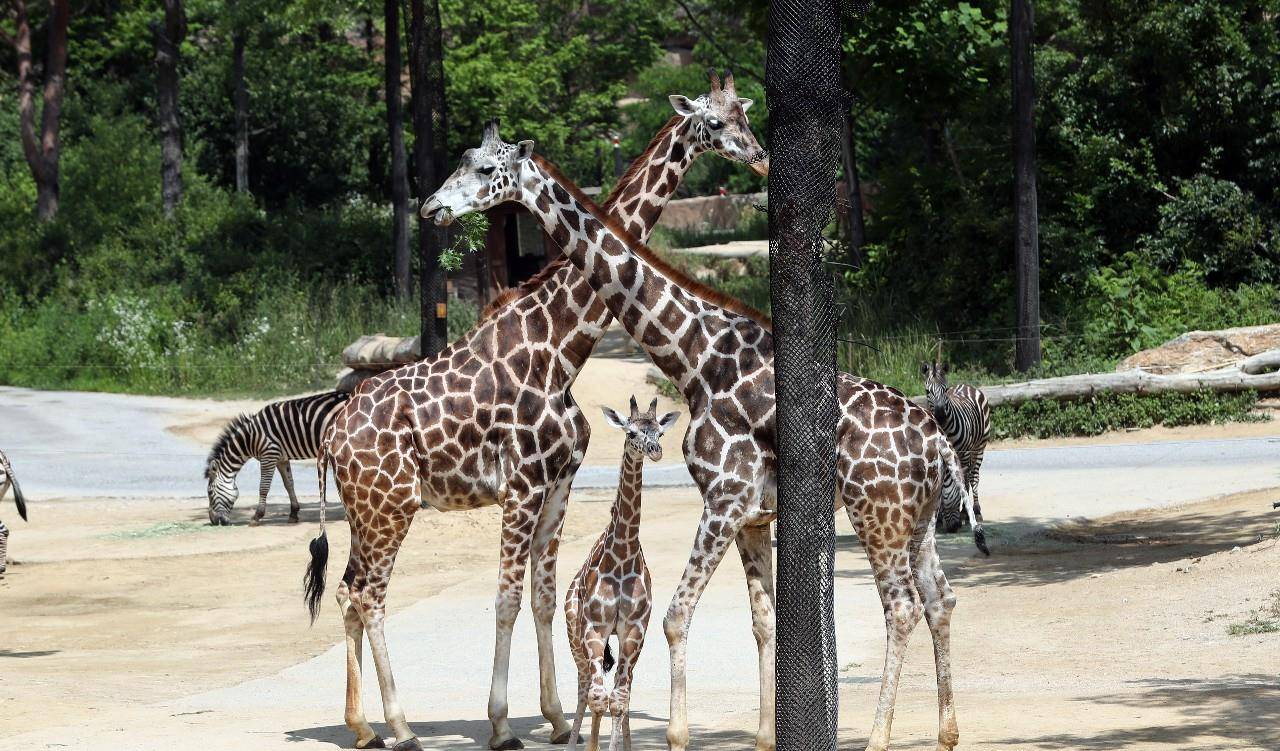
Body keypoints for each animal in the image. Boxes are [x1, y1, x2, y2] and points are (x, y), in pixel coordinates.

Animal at [203, 391, 348, 527]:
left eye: (210, 492)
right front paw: (293, 513)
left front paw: (257, 516)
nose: (213, 521)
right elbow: (289, 484)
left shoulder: (269, 455)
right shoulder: (281, 459)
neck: (250, 438)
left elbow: (263, 487)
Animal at [563, 396, 675, 751]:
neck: (622, 557)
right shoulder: (595, 629)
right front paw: (592, 746)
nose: (654, 449)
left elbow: (619, 699)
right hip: (574, 633)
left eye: (659, 433)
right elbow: (599, 697)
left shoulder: (633, 630)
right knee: (585, 687)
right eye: (630, 432)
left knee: (620, 690)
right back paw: (574, 743)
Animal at [926, 360, 993, 537]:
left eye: (945, 390)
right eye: (927, 391)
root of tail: (966, 385)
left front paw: (963, 513)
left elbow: (964, 480)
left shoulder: (963, 453)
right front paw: (939, 518)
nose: (940, 415)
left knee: (973, 477)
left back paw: (975, 510)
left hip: (978, 448)